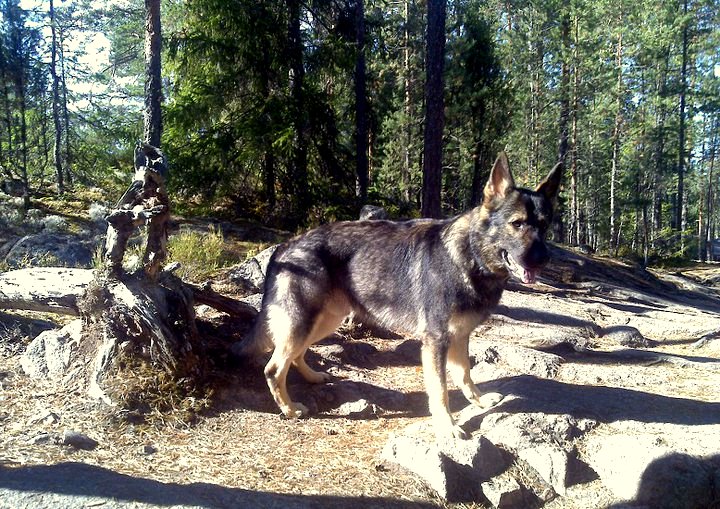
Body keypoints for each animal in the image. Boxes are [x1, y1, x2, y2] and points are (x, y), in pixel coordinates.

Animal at [244, 152, 562, 440]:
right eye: (517, 223)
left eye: (545, 226)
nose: (543, 259)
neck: (470, 256)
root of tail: (286, 245)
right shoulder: (436, 342)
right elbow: (441, 390)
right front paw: (447, 427)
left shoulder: (460, 337)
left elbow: (465, 376)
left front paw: (480, 402)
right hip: (305, 324)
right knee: (274, 368)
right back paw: (289, 410)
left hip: (324, 322)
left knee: (295, 356)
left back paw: (313, 379)